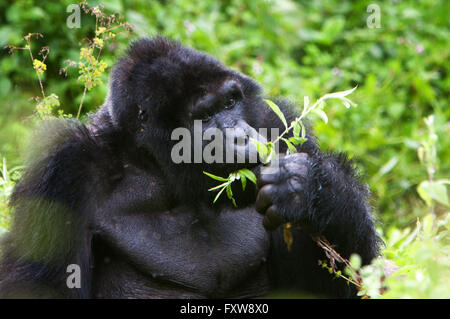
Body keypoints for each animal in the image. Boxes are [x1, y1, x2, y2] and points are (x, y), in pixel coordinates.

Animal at [0, 37, 380, 300]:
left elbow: (335, 283)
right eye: (205, 116)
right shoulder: (64, 167)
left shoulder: (278, 125)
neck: (155, 165)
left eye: (231, 102)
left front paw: (310, 189)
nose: (244, 137)